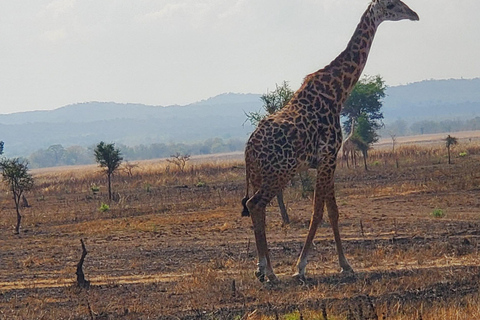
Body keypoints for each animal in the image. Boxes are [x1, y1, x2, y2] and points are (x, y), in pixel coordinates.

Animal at [242, 0, 418, 282]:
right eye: (392, 5)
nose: (414, 14)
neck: (337, 93)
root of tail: (248, 150)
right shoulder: (328, 157)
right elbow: (320, 211)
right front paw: (302, 266)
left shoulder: (326, 161)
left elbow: (332, 211)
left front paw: (343, 264)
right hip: (280, 172)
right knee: (255, 204)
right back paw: (267, 271)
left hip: (262, 175)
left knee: (258, 209)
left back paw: (265, 269)